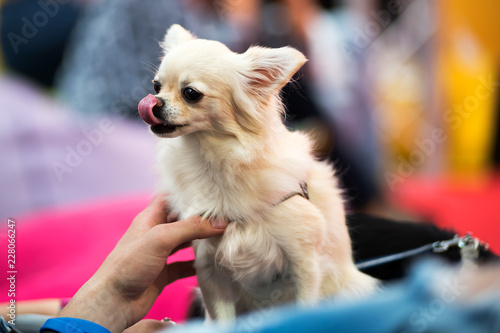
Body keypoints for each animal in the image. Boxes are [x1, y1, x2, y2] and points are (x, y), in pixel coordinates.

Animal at [139, 24, 376, 320]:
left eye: (191, 93)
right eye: (156, 86)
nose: (154, 102)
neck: (214, 160)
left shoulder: (304, 261)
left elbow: (305, 308)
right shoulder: (209, 268)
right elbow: (222, 321)